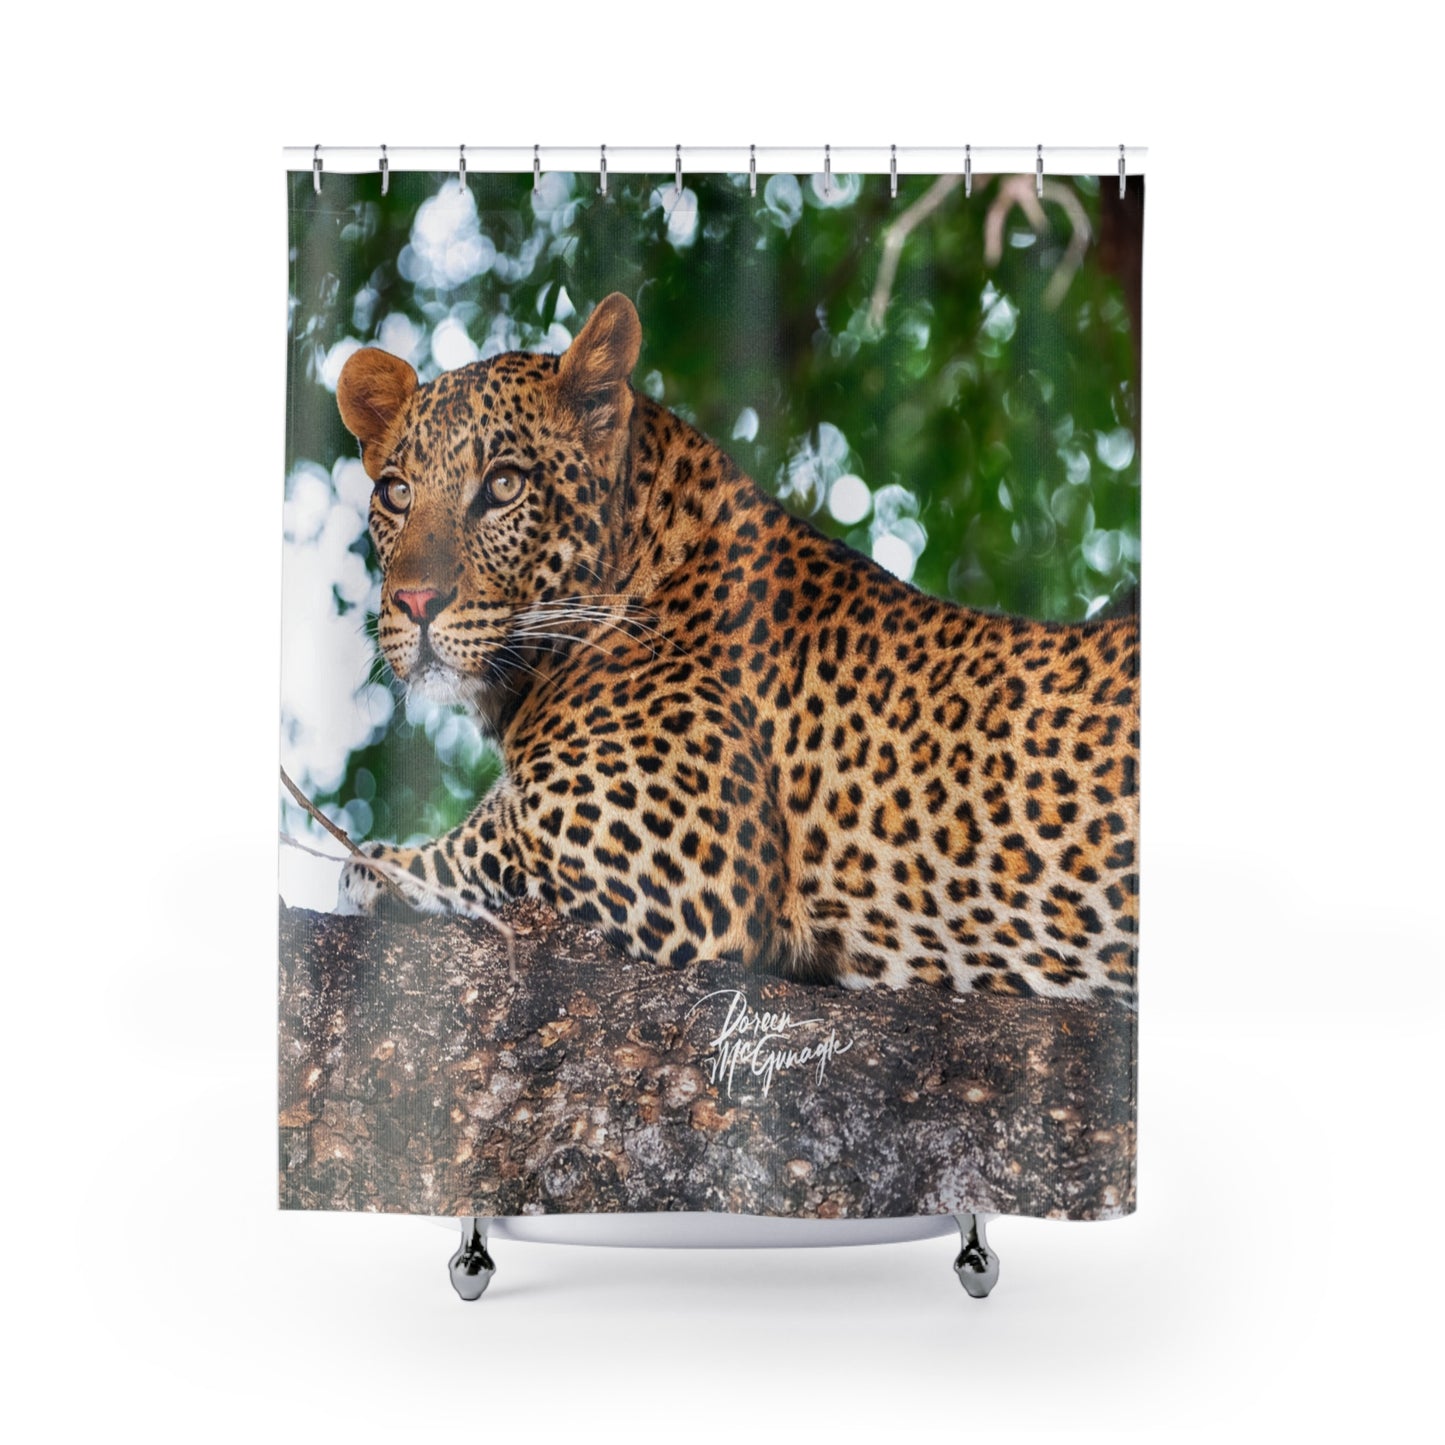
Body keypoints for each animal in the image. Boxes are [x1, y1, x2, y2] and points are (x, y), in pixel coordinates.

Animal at [333, 293, 1139, 1002]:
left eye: (502, 485)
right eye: (397, 494)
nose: (414, 603)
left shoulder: (671, 857)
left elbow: (465, 850)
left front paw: (372, 867)